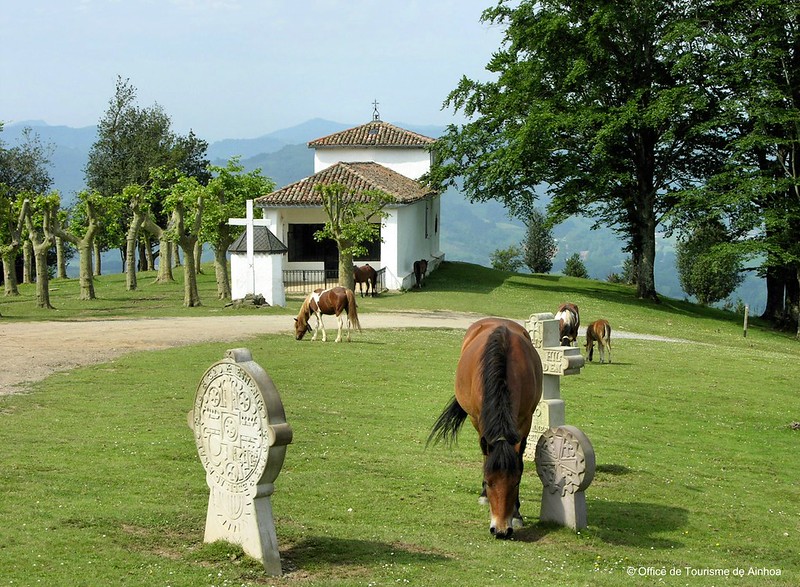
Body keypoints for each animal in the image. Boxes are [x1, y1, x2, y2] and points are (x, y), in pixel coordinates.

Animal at [424, 320, 544, 540]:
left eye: (515, 483)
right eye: (489, 482)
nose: (501, 530)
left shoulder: (526, 421)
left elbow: (520, 462)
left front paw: (516, 514)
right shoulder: (480, 419)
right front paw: (484, 495)